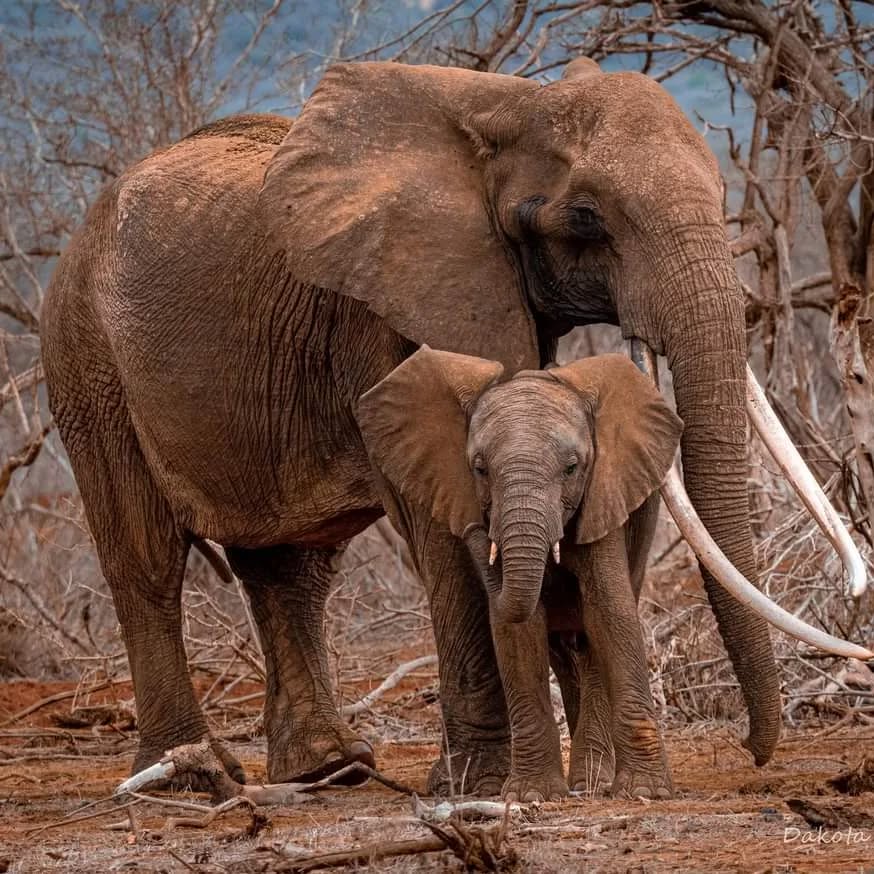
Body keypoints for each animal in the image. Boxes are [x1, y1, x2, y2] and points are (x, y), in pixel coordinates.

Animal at [357, 347, 682, 800]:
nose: (476, 528)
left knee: (591, 641)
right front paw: (531, 795)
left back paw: (592, 783)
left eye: (572, 468)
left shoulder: (603, 497)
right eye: (479, 469)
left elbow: (610, 614)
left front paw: (644, 793)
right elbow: (517, 629)